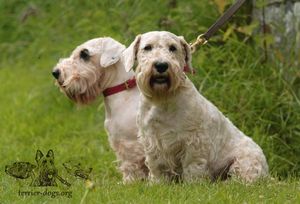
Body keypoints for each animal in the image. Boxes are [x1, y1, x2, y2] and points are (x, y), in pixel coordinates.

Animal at [53, 37, 149, 182]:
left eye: (84, 54)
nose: (56, 72)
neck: (123, 92)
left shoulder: (129, 143)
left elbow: (131, 165)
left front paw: (130, 182)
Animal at [123, 31, 268, 182]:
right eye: (147, 47)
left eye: (173, 48)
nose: (161, 65)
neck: (163, 99)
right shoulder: (152, 140)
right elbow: (157, 166)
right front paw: (158, 182)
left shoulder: (194, 141)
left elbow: (192, 166)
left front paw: (193, 183)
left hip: (244, 162)